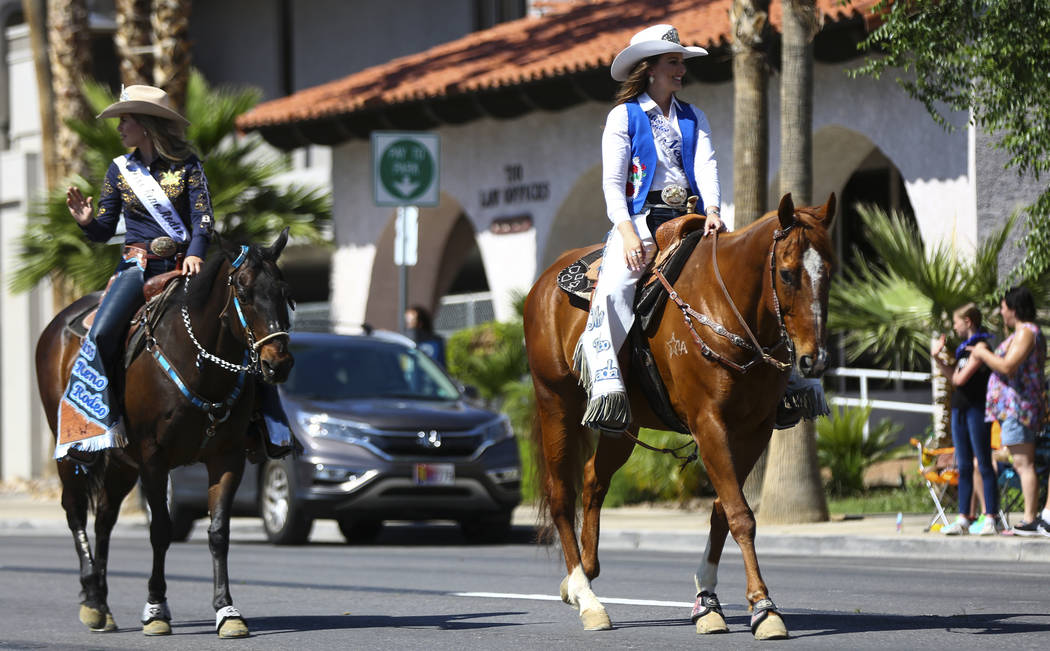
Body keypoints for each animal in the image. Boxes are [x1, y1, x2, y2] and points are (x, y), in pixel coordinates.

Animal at [35, 227, 296, 634]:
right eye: (242, 291)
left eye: (284, 292)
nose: (278, 363)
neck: (200, 362)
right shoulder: (153, 460)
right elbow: (160, 530)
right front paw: (156, 608)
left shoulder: (227, 458)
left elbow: (219, 533)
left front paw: (226, 610)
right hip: (74, 452)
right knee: (76, 512)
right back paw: (91, 599)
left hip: (121, 463)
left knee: (105, 517)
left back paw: (102, 602)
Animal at [525, 192, 835, 634]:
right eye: (788, 274)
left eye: (829, 273)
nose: (815, 360)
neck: (725, 306)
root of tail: (543, 283)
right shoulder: (709, 424)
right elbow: (741, 515)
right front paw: (763, 608)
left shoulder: (755, 430)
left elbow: (723, 511)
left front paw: (708, 602)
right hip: (556, 403)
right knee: (560, 493)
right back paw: (586, 596)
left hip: (622, 423)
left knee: (592, 480)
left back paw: (584, 572)